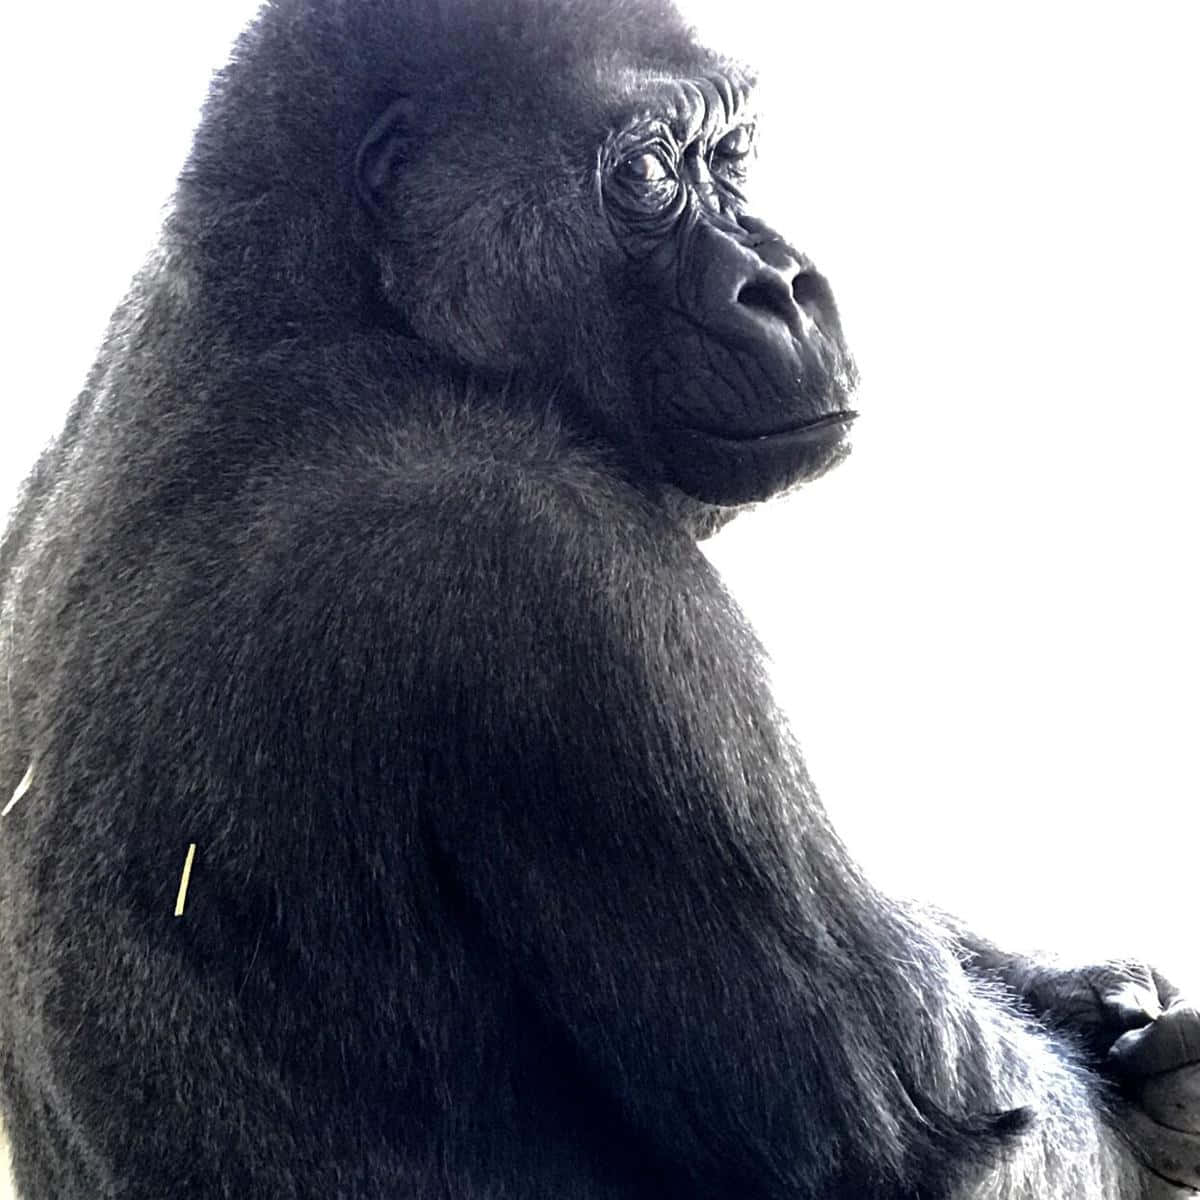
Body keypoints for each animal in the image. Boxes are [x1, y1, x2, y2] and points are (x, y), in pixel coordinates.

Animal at [2, 0, 1200, 1195]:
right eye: (649, 173)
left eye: (734, 152)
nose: (785, 282)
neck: (334, 301)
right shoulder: (559, 562)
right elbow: (943, 1151)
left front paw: (1091, 993)